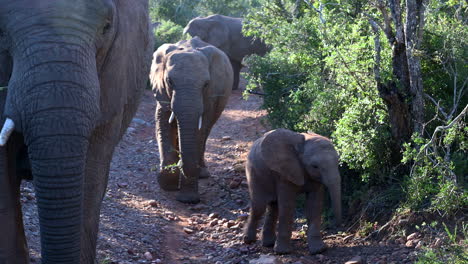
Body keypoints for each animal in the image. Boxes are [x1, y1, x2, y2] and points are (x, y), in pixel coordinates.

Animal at [151, 36, 233, 203]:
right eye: (169, 81)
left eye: (206, 84)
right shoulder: (161, 90)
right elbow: (163, 124)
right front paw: (169, 184)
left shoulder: (211, 94)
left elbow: (199, 131)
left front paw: (187, 198)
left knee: (206, 132)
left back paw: (202, 173)